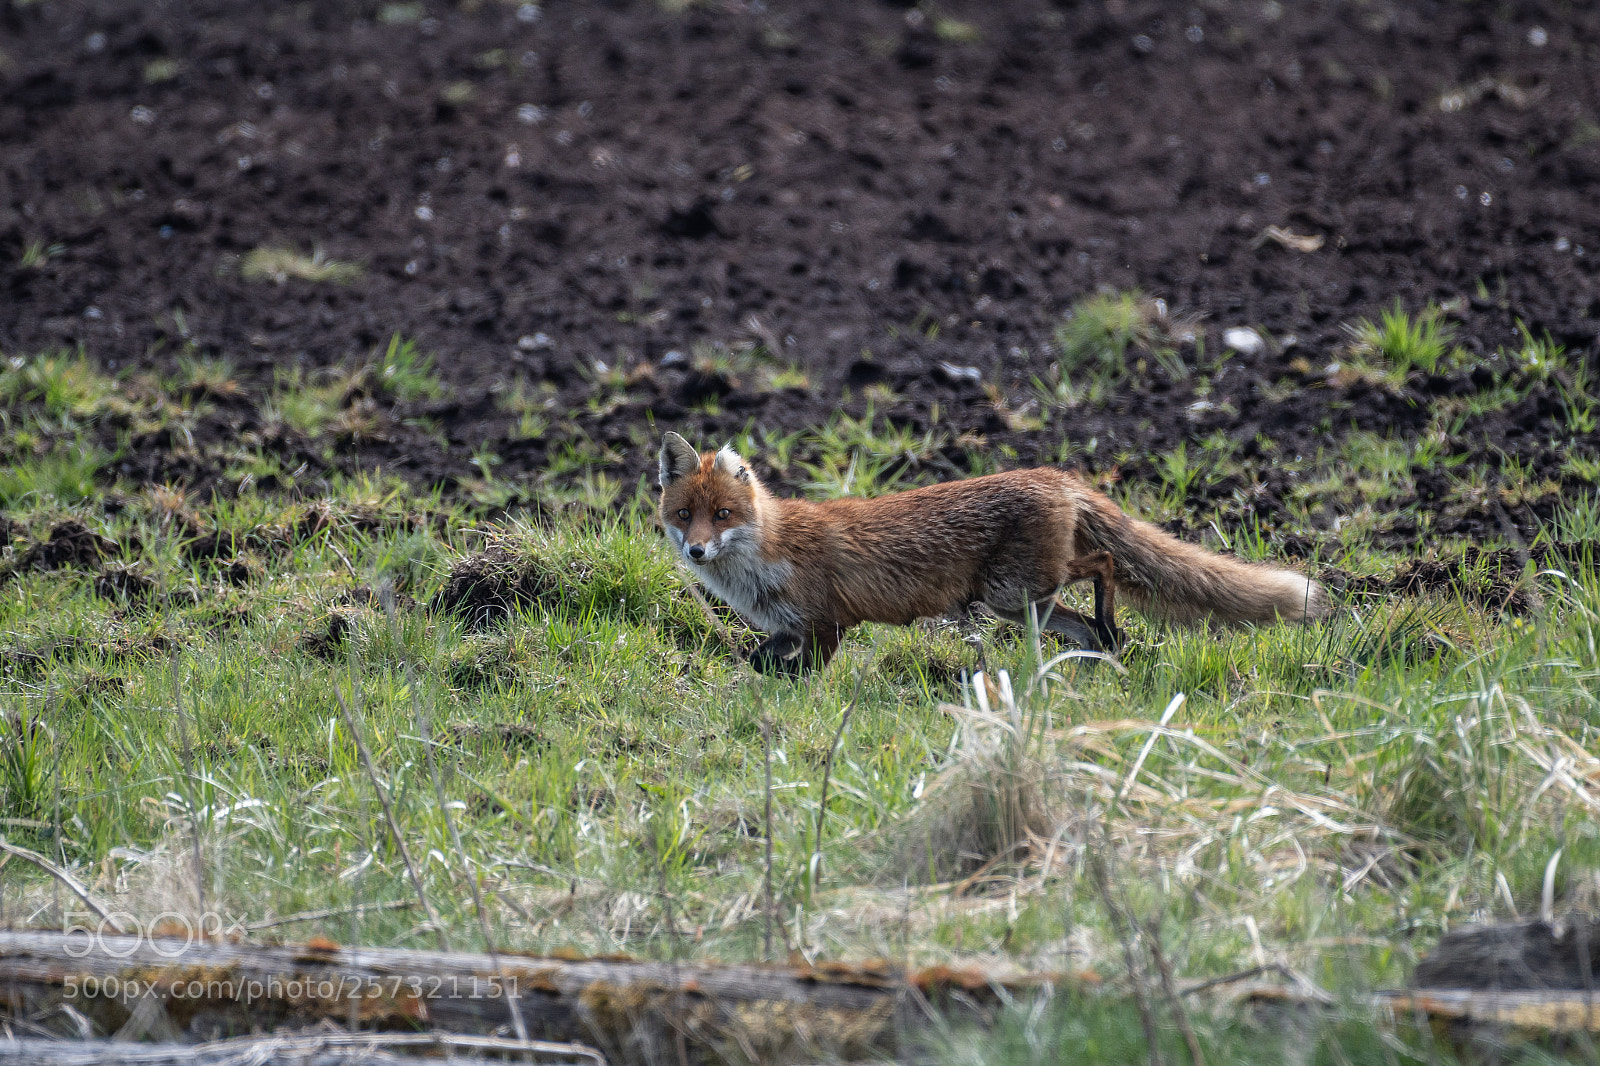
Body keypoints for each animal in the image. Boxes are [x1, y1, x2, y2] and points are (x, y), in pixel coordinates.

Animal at [657, 432, 1328, 674]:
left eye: (723, 515)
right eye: (684, 515)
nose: (697, 550)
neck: (767, 556)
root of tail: (1055, 475)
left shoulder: (826, 622)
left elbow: (803, 670)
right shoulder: (786, 627)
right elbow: (758, 656)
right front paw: (753, 671)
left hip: (1012, 589)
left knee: (1103, 566)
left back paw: (1111, 631)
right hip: (1024, 603)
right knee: (1082, 622)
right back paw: (1097, 658)